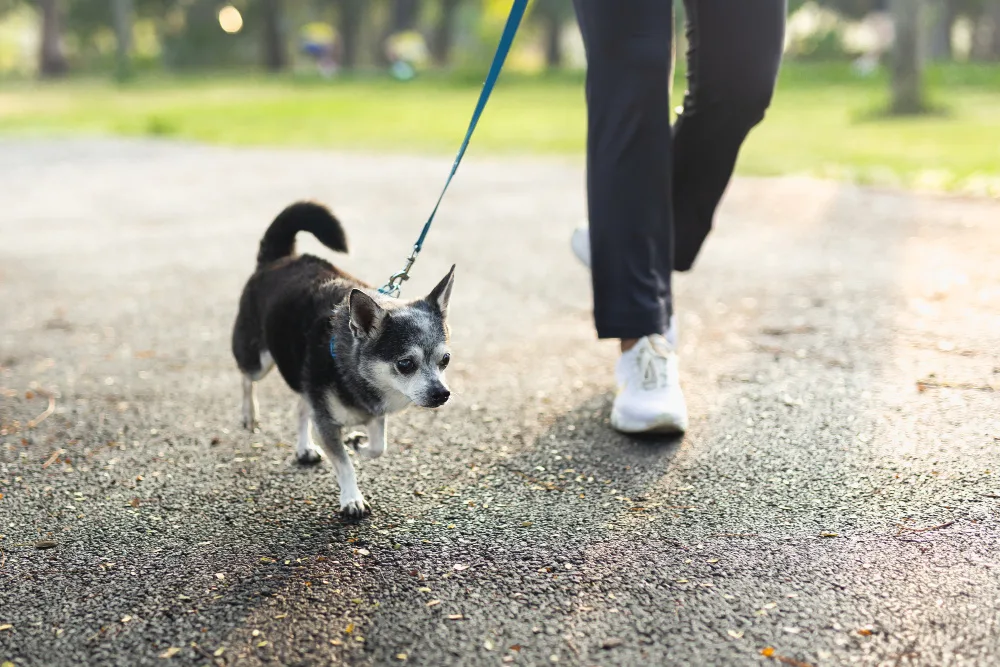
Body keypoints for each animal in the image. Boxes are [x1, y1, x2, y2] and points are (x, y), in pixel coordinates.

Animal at [230, 202, 454, 516]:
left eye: (445, 359)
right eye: (405, 364)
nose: (442, 393)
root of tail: (280, 259)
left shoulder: (373, 414)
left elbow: (378, 446)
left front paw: (359, 444)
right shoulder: (327, 424)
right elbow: (344, 464)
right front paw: (352, 499)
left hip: (304, 376)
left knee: (302, 406)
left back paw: (305, 447)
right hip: (258, 361)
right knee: (246, 378)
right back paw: (250, 413)